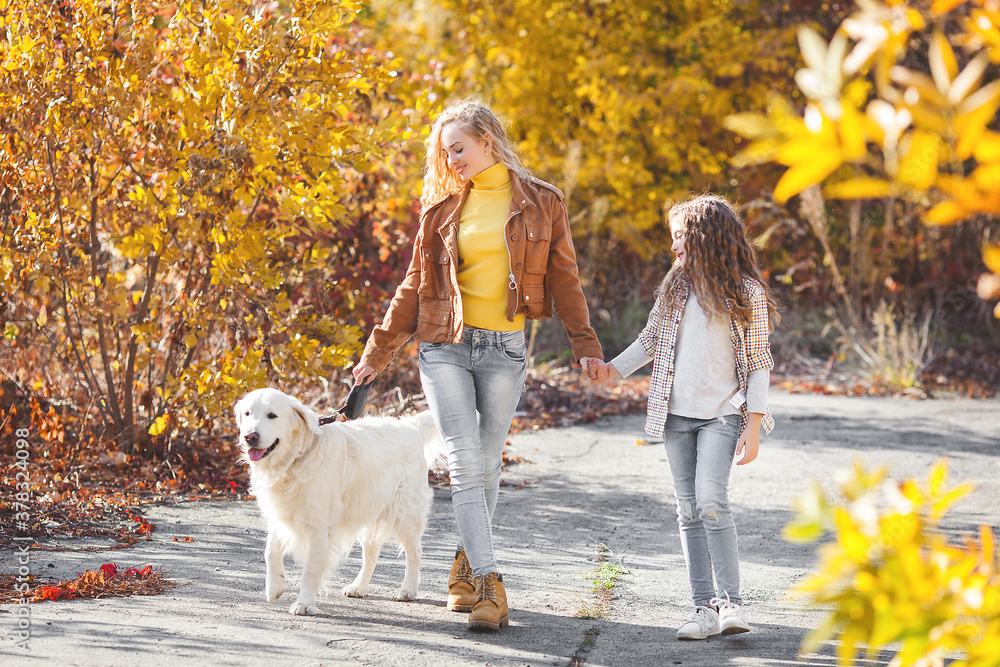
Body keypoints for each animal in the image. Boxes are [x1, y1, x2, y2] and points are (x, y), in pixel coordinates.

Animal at [236, 388, 444, 620]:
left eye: (272, 415)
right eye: (247, 413)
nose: (250, 437)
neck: (296, 460)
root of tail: (411, 426)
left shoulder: (318, 528)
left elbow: (310, 568)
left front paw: (304, 603)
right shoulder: (280, 516)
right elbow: (270, 551)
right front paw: (274, 587)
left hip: (405, 513)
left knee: (415, 552)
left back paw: (408, 590)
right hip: (367, 510)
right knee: (372, 553)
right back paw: (358, 587)